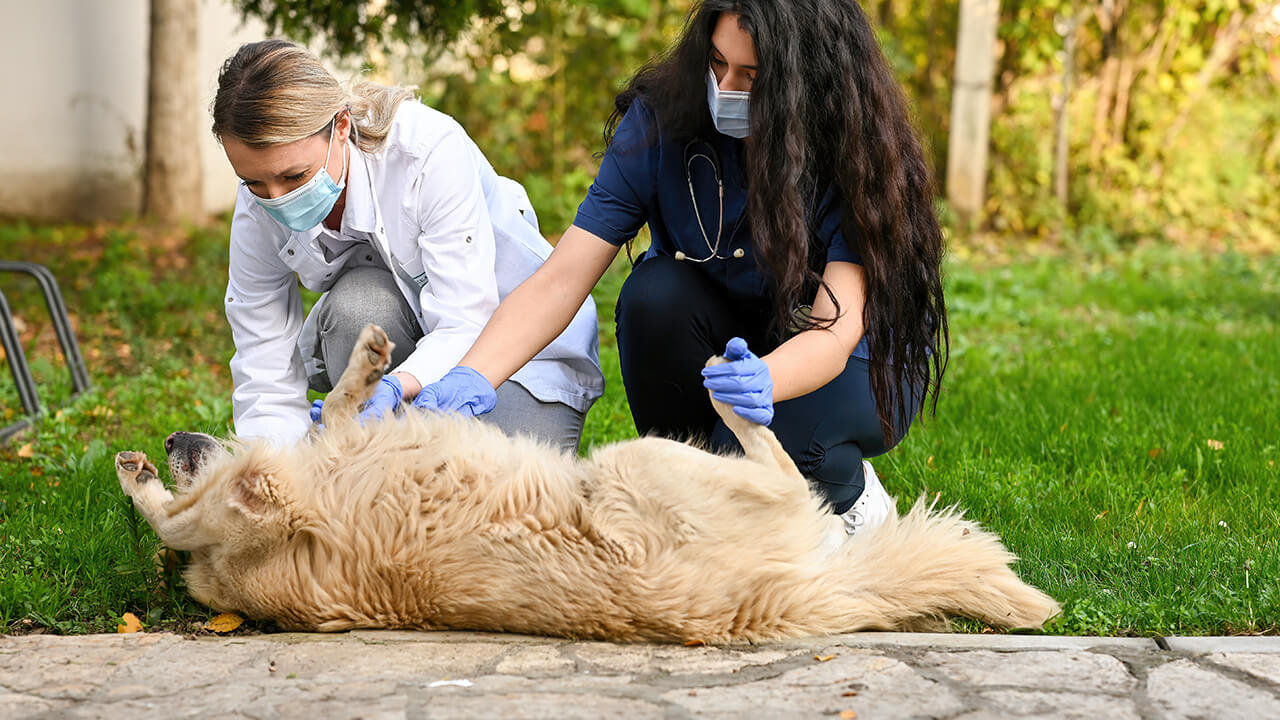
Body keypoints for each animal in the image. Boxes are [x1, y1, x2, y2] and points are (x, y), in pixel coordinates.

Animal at [117, 322, 1059, 640]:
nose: (165, 438)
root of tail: (774, 604)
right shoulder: (270, 496)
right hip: (634, 460)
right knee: (788, 472)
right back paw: (738, 384)